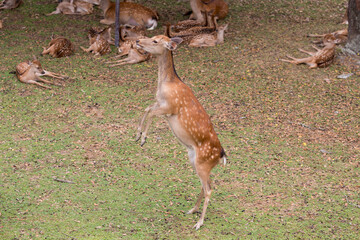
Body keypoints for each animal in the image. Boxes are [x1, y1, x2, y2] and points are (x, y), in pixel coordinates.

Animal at [135, 34, 225, 230]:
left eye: (155, 41)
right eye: (153, 36)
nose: (137, 40)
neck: (165, 85)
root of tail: (222, 156)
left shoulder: (170, 107)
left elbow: (150, 112)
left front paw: (144, 138)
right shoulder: (160, 104)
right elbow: (147, 108)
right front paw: (137, 134)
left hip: (203, 163)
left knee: (209, 189)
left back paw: (199, 223)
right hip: (196, 161)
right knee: (207, 185)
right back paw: (192, 210)